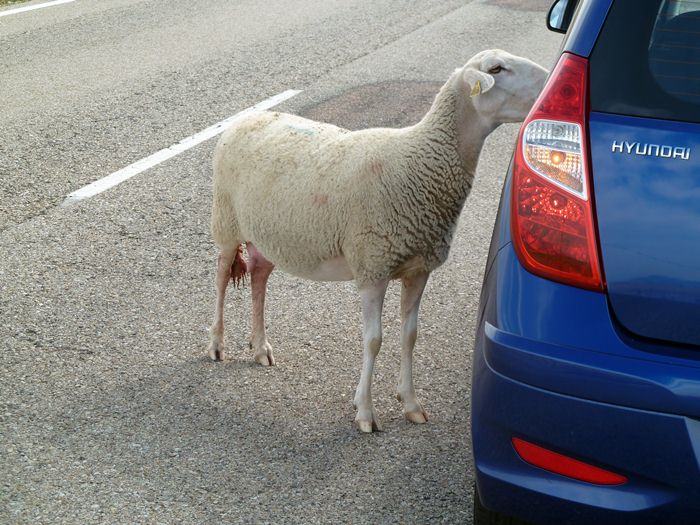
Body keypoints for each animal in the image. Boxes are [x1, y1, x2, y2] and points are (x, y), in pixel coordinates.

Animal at [207, 49, 548, 433]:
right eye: (496, 69)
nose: (549, 82)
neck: (422, 160)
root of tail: (246, 117)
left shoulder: (418, 268)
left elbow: (410, 335)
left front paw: (411, 403)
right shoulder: (373, 267)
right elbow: (373, 340)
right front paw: (366, 412)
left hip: (266, 233)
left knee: (259, 276)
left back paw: (260, 347)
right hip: (226, 219)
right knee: (221, 276)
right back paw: (216, 343)